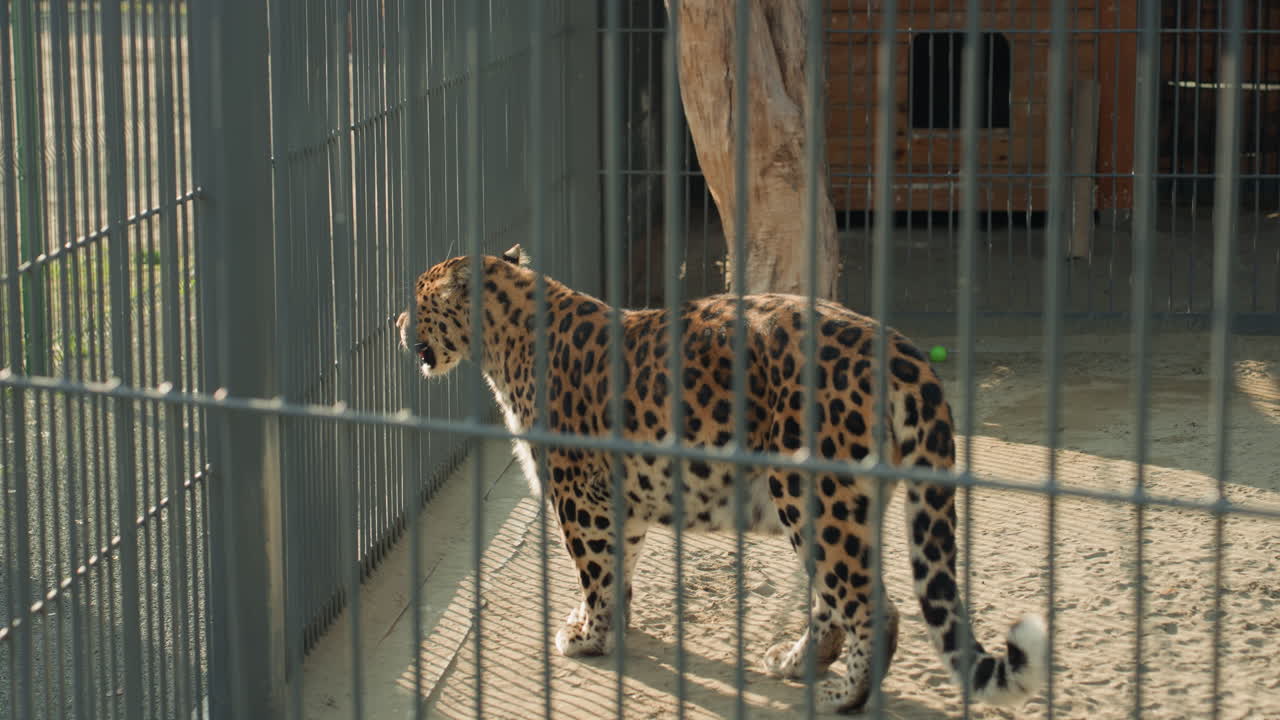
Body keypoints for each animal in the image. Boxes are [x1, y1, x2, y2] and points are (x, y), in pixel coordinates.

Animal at [397, 244, 1048, 713]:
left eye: (420, 297)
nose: (398, 319)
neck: (504, 343)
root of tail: (898, 347)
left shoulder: (579, 497)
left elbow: (596, 572)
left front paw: (589, 639)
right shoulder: (617, 502)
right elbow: (617, 571)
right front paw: (604, 628)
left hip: (814, 495)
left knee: (871, 606)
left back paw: (844, 696)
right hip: (846, 506)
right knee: (835, 601)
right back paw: (796, 663)